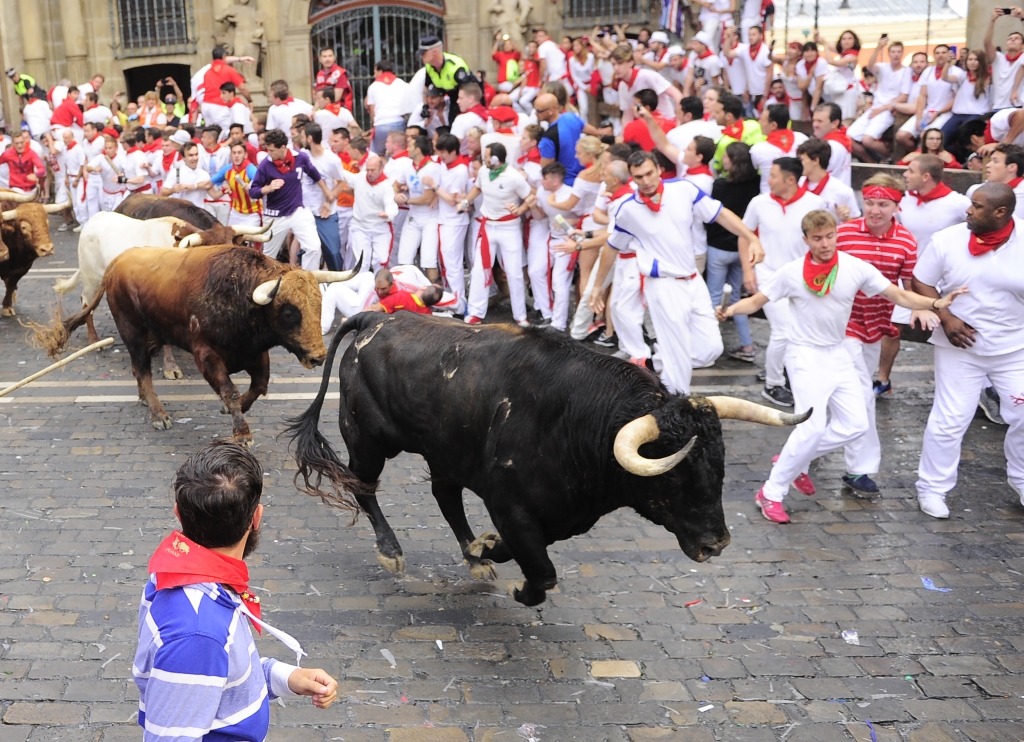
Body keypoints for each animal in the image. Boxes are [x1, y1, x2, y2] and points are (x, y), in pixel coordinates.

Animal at [39, 245, 360, 442]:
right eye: (290, 312)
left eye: (318, 304)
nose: (318, 356)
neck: (240, 295)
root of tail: (116, 264)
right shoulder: (206, 356)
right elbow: (230, 391)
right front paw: (242, 432)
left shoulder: (255, 355)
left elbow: (258, 387)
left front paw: (232, 410)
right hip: (134, 335)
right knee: (142, 371)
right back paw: (158, 414)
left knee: (137, 371)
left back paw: (144, 399)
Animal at [288, 309, 806, 605]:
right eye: (676, 478)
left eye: (719, 469)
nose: (717, 544)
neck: (581, 419)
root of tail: (375, 317)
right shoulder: (509, 501)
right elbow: (542, 569)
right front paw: (519, 586)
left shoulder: (561, 513)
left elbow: (530, 547)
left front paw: (486, 549)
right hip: (369, 439)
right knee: (362, 486)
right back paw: (390, 551)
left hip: (446, 451)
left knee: (445, 496)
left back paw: (473, 557)